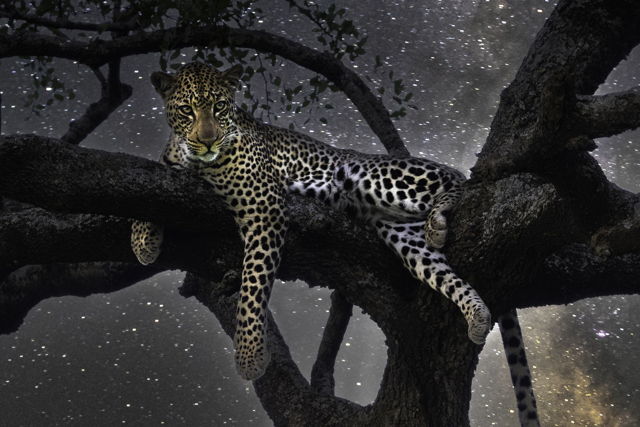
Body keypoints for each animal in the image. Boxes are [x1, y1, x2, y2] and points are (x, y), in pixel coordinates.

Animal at [130, 62, 539, 426]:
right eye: (187, 110)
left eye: (218, 107)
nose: (208, 139)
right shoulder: (170, 170)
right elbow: (150, 184)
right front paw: (143, 242)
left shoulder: (264, 207)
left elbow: (253, 287)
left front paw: (249, 356)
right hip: (402, 235)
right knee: (439, 268)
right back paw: (476, 313)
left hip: (371, 175)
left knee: (457, 183)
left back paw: (441, 217)